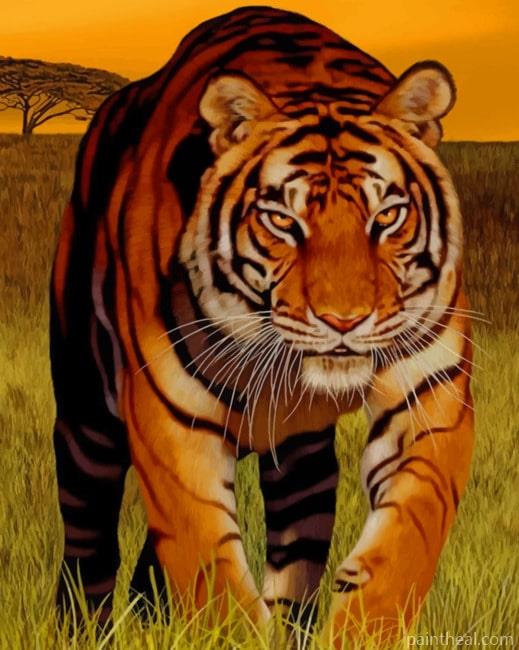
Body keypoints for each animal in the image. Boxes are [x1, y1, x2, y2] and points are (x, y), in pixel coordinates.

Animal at [50, 5, 474, 644]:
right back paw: (83, 628)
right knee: (87, 533)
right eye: (282, 221)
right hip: (86, 413)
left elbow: (410, 533)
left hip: (299, 463)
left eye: (387, 216)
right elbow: (208, 563)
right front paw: (227, 633)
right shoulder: (169, 418)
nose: (344, 321)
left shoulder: (432, 388)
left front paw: (360, 631)